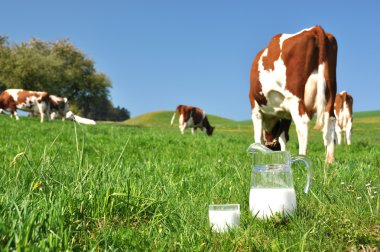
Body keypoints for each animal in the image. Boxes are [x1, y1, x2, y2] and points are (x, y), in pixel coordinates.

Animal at [251, 25, 336, 163]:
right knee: (330, 120)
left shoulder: (255, 107)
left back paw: (302, 158)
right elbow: (283, 136)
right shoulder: (286, 114)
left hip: (295, 98)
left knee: (302, 123)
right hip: (330, 94)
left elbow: (258, 136)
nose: (273, 148)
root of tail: (313, 28)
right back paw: (329, 161)